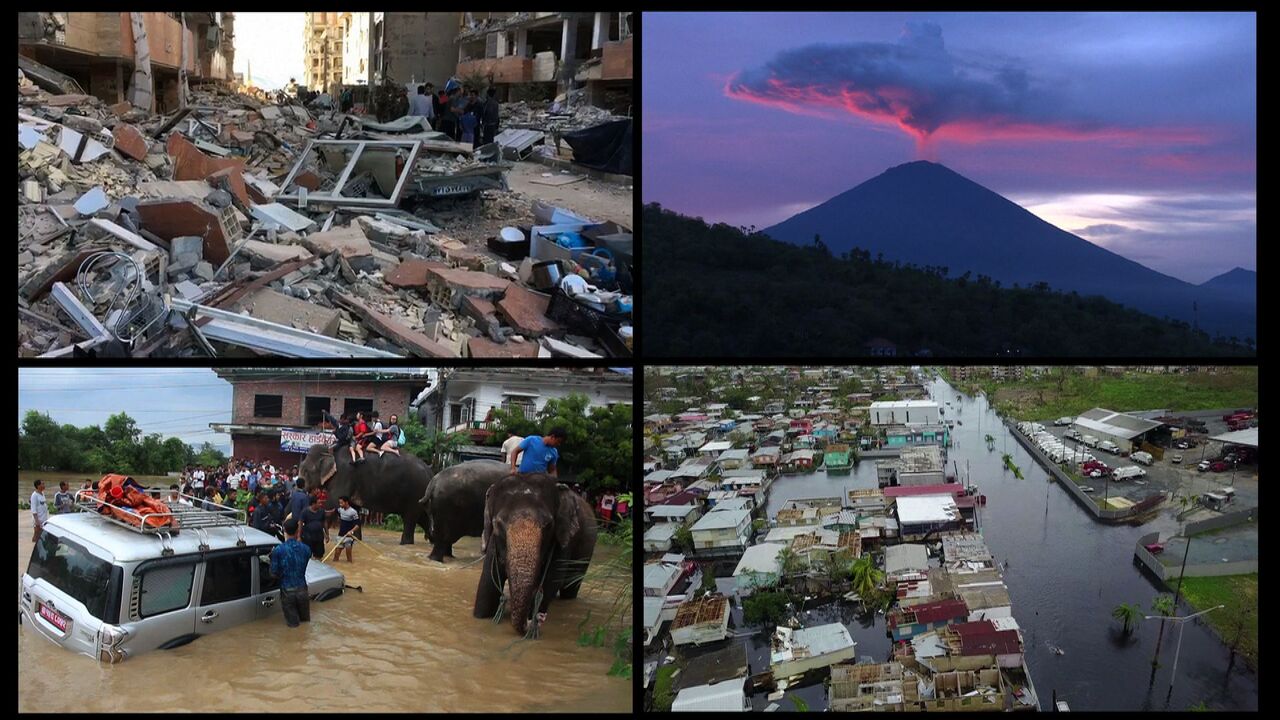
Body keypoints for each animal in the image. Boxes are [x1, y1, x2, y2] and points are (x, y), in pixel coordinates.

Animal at [298, 440, 435, 540]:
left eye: (306, 470)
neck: (330, 451)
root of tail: (430, 471)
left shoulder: (344, 475)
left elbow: (333, 503)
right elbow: (353, 509)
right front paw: (356, 539)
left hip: (415, 492)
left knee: (410, 519)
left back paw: (406, 543)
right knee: (422, 517)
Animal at [473, 471, 596, 632]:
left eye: (548, 525)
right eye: (498, 524)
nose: (537, 619)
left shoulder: (562, 541)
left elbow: (551, 581)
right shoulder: (494, 544)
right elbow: (487, 583)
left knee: (571, 587)